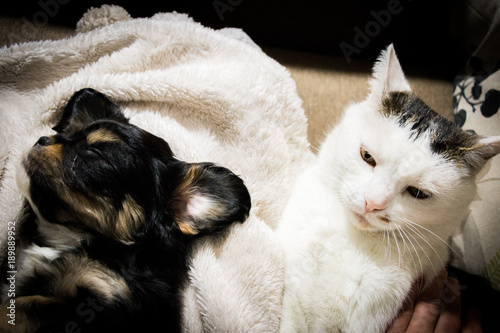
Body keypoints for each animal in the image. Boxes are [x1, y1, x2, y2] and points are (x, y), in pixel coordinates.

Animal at [0, 88, 250, 332]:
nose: (41, 139)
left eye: (94, 154)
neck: (68, 238)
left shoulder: (97, 301)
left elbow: (22, 306)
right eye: (68, 135)